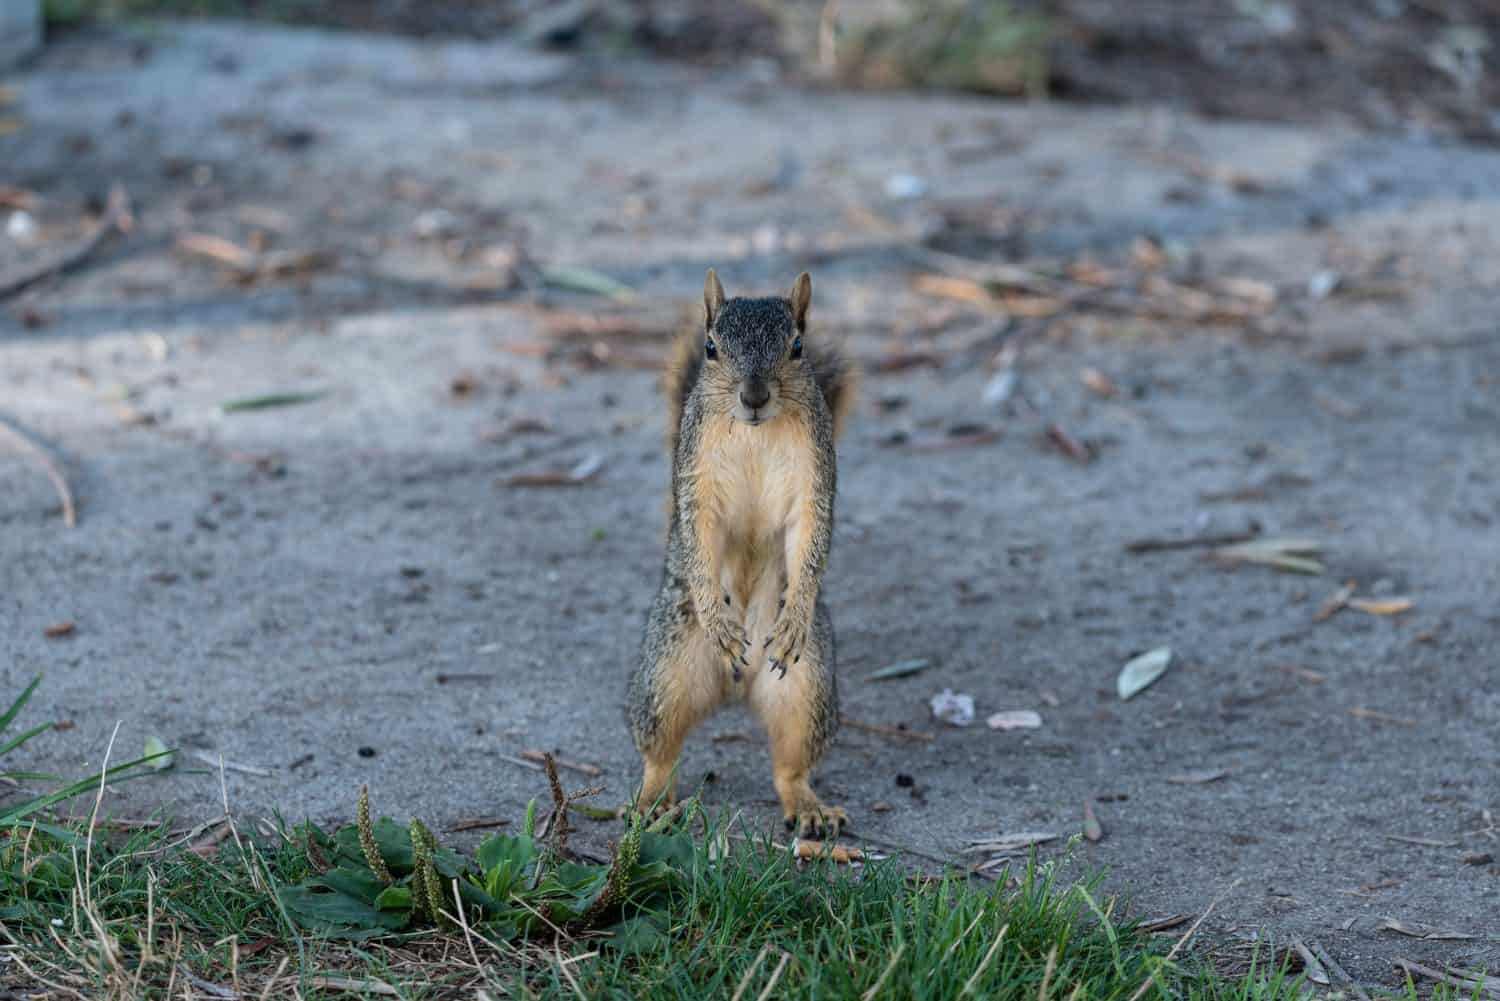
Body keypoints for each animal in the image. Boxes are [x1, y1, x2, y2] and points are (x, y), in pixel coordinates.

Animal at [625, 269, 856, 837]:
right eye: (711, 348)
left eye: (797, 346)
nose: (754, 396)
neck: (756, 432)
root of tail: (737, 687)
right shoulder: (696, 476)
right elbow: (700, 534)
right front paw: (717, 614)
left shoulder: (816, 476)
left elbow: (811, 535)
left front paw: (794, 614)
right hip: (665, 672)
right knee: (660, 752)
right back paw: (651, 802)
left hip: (808, 687)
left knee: (790, 765)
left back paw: (809, 808)